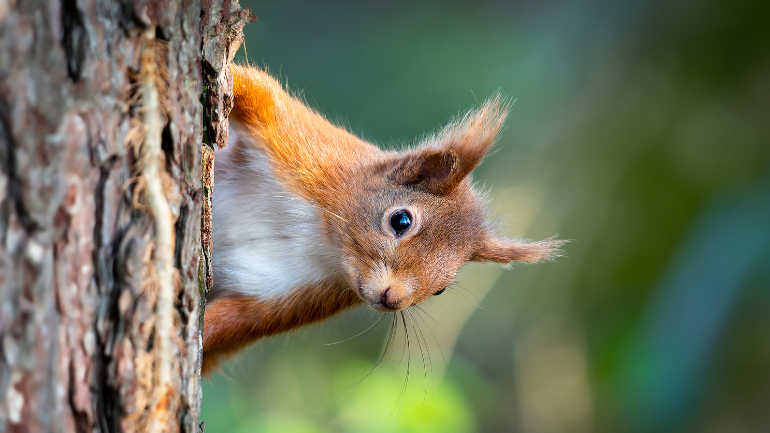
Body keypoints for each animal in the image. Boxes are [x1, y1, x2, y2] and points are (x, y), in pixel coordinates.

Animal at [202, 64, 564, 373]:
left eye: (441, 290)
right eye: (400, 221)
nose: (393, 299)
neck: (321, 237)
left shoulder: (295, 296)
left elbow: (234, 322)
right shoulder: (310, 153)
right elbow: (260, 93)